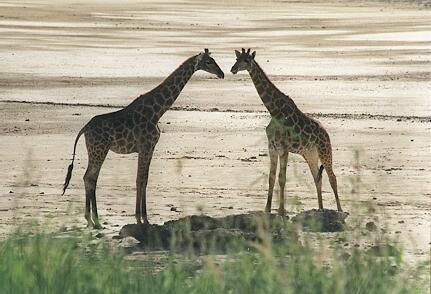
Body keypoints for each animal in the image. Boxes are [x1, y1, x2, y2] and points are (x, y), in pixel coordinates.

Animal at [63, 48, 226, 227]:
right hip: (99, 150)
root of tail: (84, 129)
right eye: (209, 62)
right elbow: (140, 179)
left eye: (214, 60)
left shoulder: (150, 148)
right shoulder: (145, 146)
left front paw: (144, 217)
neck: (156, 113)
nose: (222, 74)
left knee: (91, 178)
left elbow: (144, 179)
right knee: (89, 178)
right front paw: (141, 217)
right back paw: (93, 220)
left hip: (96, 151)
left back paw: (93, 219)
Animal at [231, 47, 342, 214]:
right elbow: (271, 178)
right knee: (317, 177)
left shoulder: (284, 148)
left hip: (325, 151)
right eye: (237, 59)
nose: (233, 69)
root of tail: (326, 133)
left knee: (332, 177)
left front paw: (281, 211)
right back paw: (320, 209)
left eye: (246, 60)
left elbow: (281, 178)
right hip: (310, 154)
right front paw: (268, 209)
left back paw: (340, 210)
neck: (274, 111)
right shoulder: (272, 146)